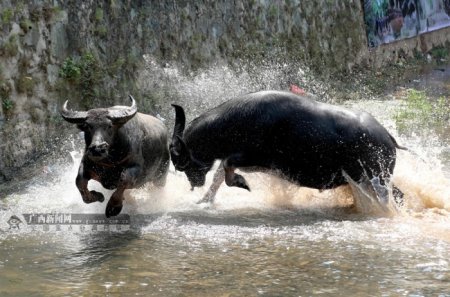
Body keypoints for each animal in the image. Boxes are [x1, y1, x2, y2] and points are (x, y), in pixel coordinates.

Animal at [171, 89, 406, 206]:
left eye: (181, 161)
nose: (194, 183)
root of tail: (388, 138)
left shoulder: (250, 157)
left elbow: (227, 171)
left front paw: (241, 183)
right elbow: (219, 176)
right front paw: (204, 200)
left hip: (374, 180)